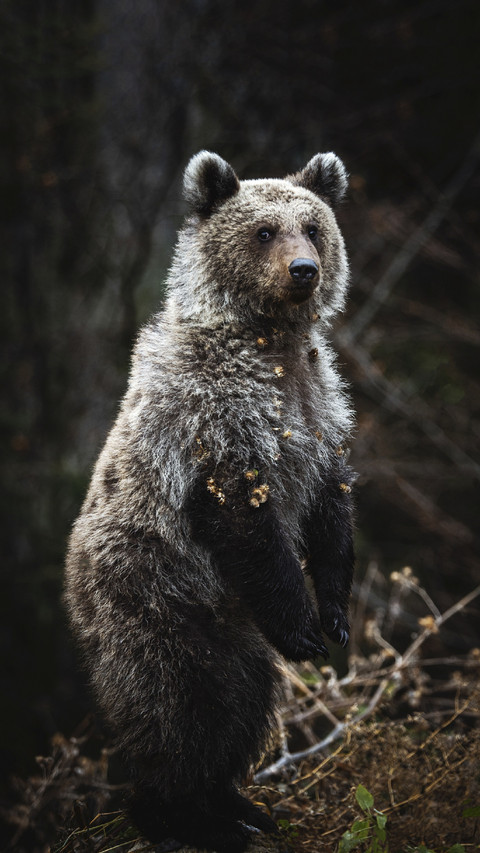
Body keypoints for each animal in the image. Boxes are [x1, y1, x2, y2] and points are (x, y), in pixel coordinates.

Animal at [65, 150, 355, 853]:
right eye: (263, 232)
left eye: (313, 227)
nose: (304, 271)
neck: (270, 345)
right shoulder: (214, 422)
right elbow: (245, 521)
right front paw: (303, 624)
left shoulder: (321, 411)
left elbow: (331, 511)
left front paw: (334, 613)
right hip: (157, 600)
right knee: (178, 707)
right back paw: (181, 814)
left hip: (235, 634)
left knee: (242, 701)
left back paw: (238, 805)